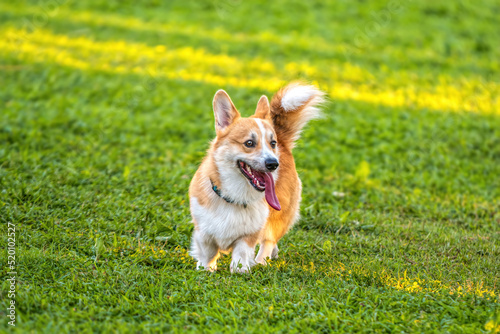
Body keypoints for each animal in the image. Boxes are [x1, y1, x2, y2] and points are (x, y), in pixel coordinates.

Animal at [189, 82, 326, 272]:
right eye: (249, 143)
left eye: (272, 143)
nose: (273, 164)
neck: (235, 195)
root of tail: (284, 143)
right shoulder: (203, 230)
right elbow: (207, 252)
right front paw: (205, 269)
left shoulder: (249, 234)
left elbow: (241, 254)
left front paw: (240, 271)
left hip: (279, 214)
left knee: (269, 240)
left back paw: (262, 261)